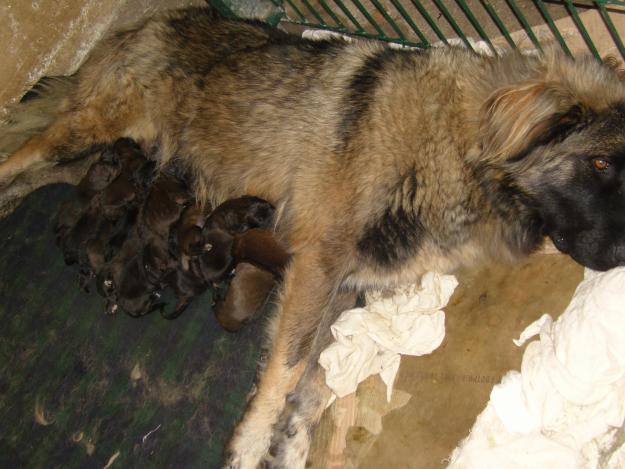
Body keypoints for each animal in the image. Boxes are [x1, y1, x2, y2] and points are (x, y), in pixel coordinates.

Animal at [1, 5, 624, 466]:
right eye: (597, 164)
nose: (620, 253)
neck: (458, 146)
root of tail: (151, 18)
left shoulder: (346, 287)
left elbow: (315, 385)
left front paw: (291, 446)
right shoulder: (317, 267)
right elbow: (289, 370)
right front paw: (250, 446)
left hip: (109, 159)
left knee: (40, 175)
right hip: (93, 129)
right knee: (19, 157)